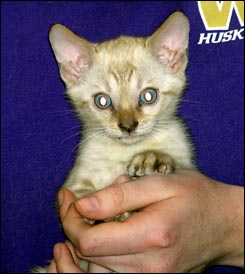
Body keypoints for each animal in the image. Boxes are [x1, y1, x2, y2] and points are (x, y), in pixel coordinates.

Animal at [32, 10, 195, 272]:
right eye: (102, 101)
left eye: (148, 96)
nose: (128, 126)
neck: (124, 151)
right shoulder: (75, 181)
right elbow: (76, 198)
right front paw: (101, 213)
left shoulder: (188, 163)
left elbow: (178, 163)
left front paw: (151, 158)